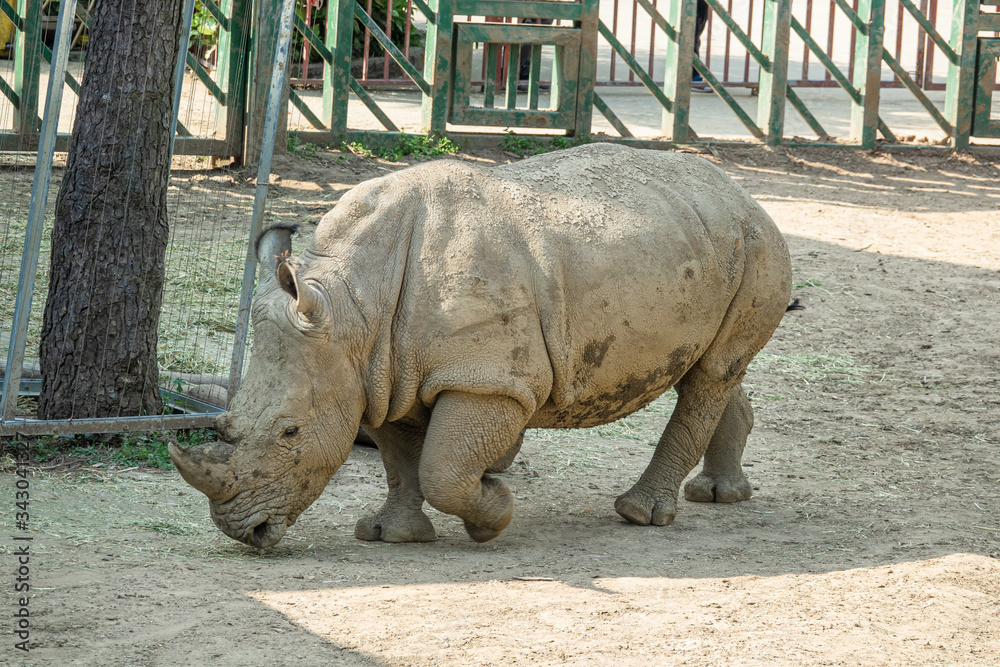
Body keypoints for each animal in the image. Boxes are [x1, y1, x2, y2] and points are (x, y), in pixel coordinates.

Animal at [169, 143, 792, 548]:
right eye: (223, 426)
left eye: (291, 432)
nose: (242, 532)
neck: (354, 303)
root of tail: (740, 192)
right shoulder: (381, 373)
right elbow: (402, 461)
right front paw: (390, 535)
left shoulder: (489, 380)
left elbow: (443, 469)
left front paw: (491, 512)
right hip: (708, 243)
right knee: (711, 371)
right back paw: (721, 495)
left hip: (757, 244)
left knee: (711, 374)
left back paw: (640, 515)